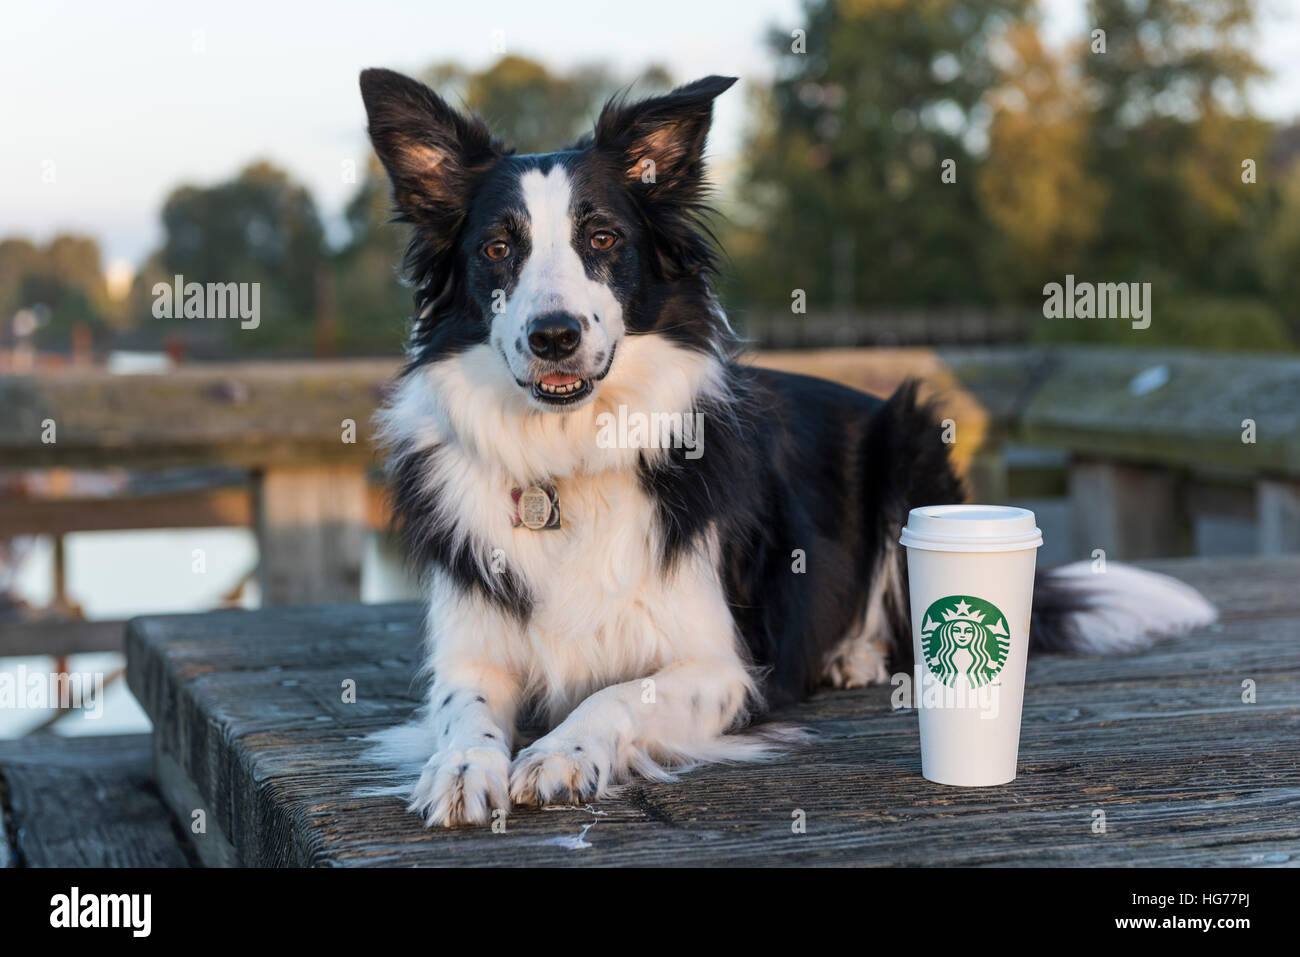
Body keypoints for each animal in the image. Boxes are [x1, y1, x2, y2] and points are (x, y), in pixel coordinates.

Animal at [358, 69, 1216, 832]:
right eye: (497, 249)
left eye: (602, 238)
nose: (554, 335)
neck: (567, 464)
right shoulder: (470, 654)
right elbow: (464, 711)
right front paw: (462, 767)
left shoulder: (726, 667)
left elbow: (615, 694)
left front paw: (561, 753)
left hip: (908, 440)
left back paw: (854, 655)